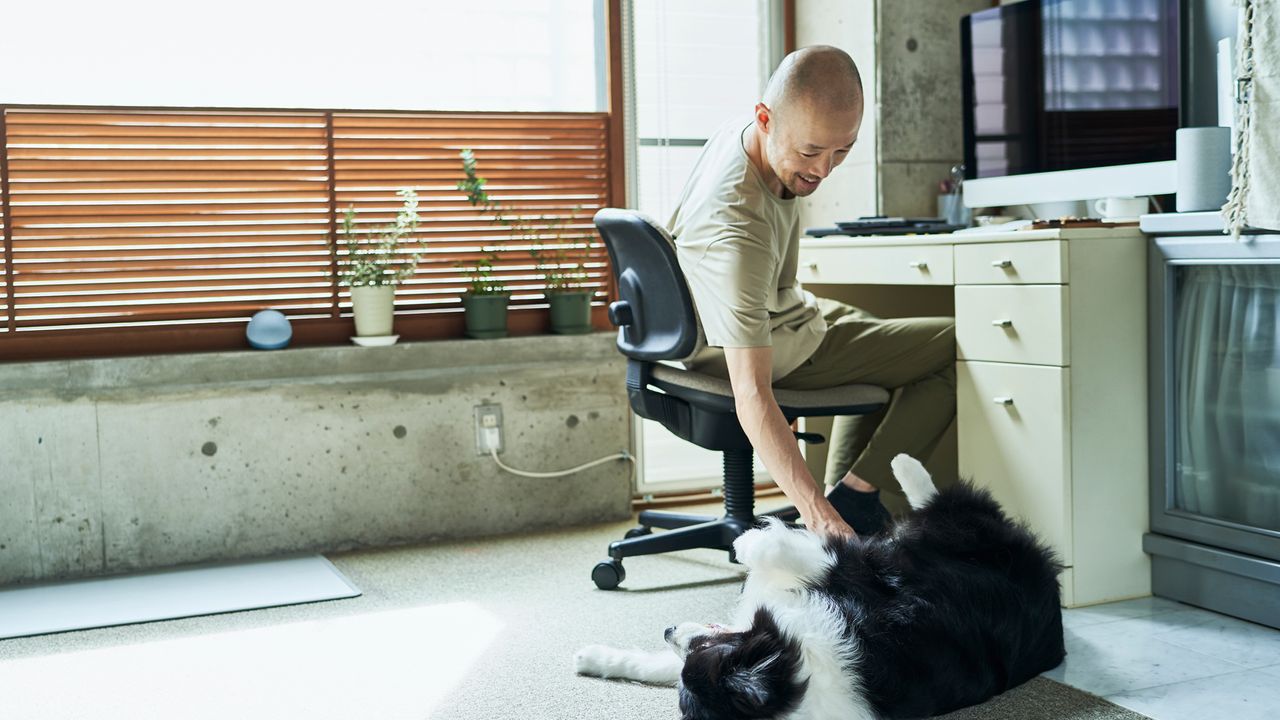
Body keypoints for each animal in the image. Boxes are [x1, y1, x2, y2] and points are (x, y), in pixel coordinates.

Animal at [576, 453, 1064, 717]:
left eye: (705, 651)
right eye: (687, 677)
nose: (667, 629)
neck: (803, 671)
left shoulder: (859, 573)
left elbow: (804, 551)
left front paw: (748, 540)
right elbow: (654, 665)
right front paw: (593, 657)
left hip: (955, 532)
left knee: (944, 504)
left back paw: (905, 467)